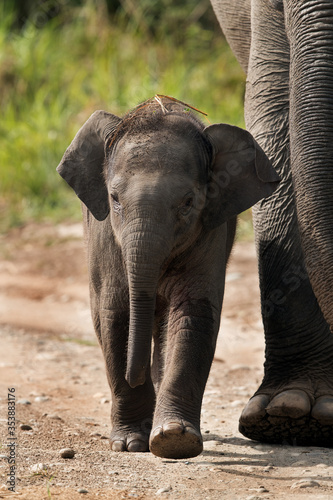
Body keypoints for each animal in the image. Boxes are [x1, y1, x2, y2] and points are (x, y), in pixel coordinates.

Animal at [57, 95, 278, 458]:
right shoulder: (105, 237)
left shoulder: (210, 233)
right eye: (114, 199)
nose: (136, 375)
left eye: (188, 202)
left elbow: (192, 315)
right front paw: (131, 444)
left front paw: (174, 439)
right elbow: (115, 314)